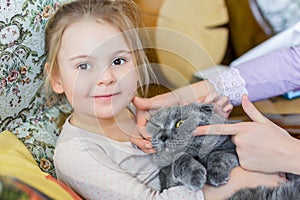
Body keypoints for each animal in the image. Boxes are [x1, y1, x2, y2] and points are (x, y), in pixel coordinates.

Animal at [146, 102, 300, 199]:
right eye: (157, 127)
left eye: (180, 123)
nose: (163, 137)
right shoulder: (168, 180)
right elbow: (180, 158)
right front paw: (195, 178)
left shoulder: (233, 150)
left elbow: (218, 154)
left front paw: (217, 176)